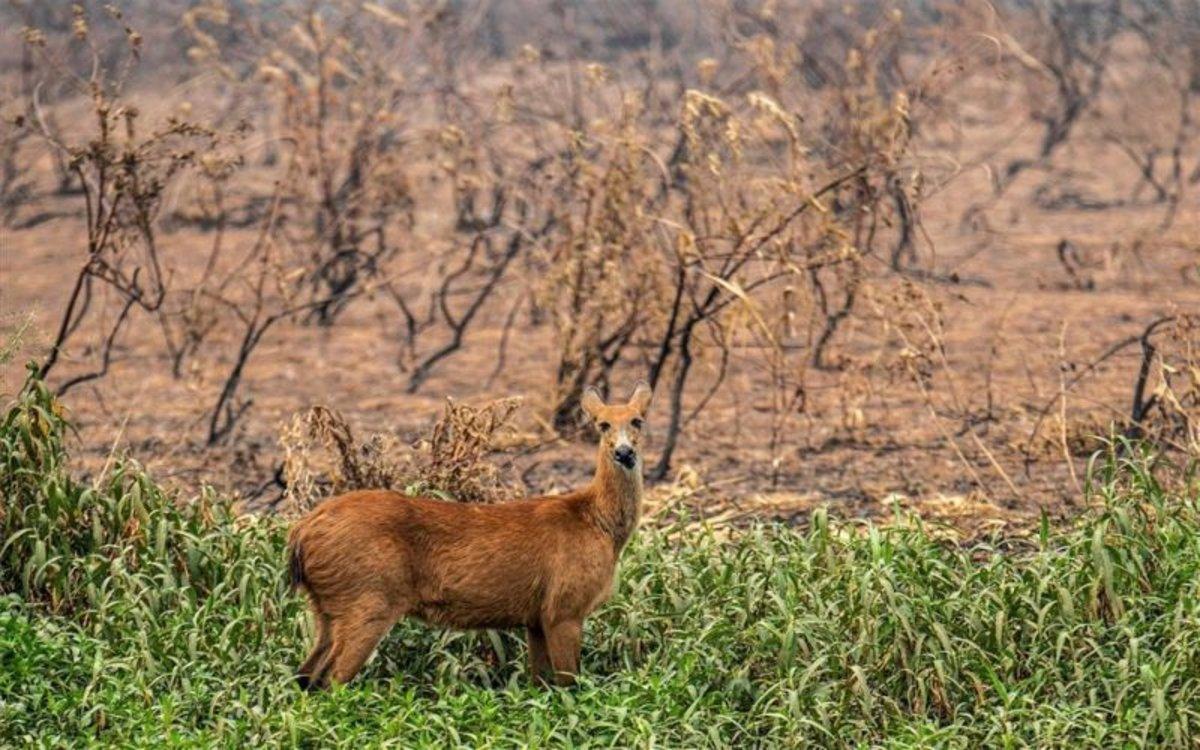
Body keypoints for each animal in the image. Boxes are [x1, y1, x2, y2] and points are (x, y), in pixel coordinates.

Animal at [285, 384, 652, 686]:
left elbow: (540, 685)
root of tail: (302, 532)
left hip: (326, 607)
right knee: (331, 680)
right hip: (367, 598)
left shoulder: (536, 618)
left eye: (638, 421)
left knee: (305, 676)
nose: (624, 452)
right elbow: (568, 685)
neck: (598, 523)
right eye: (602, 424)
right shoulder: (564, 607)